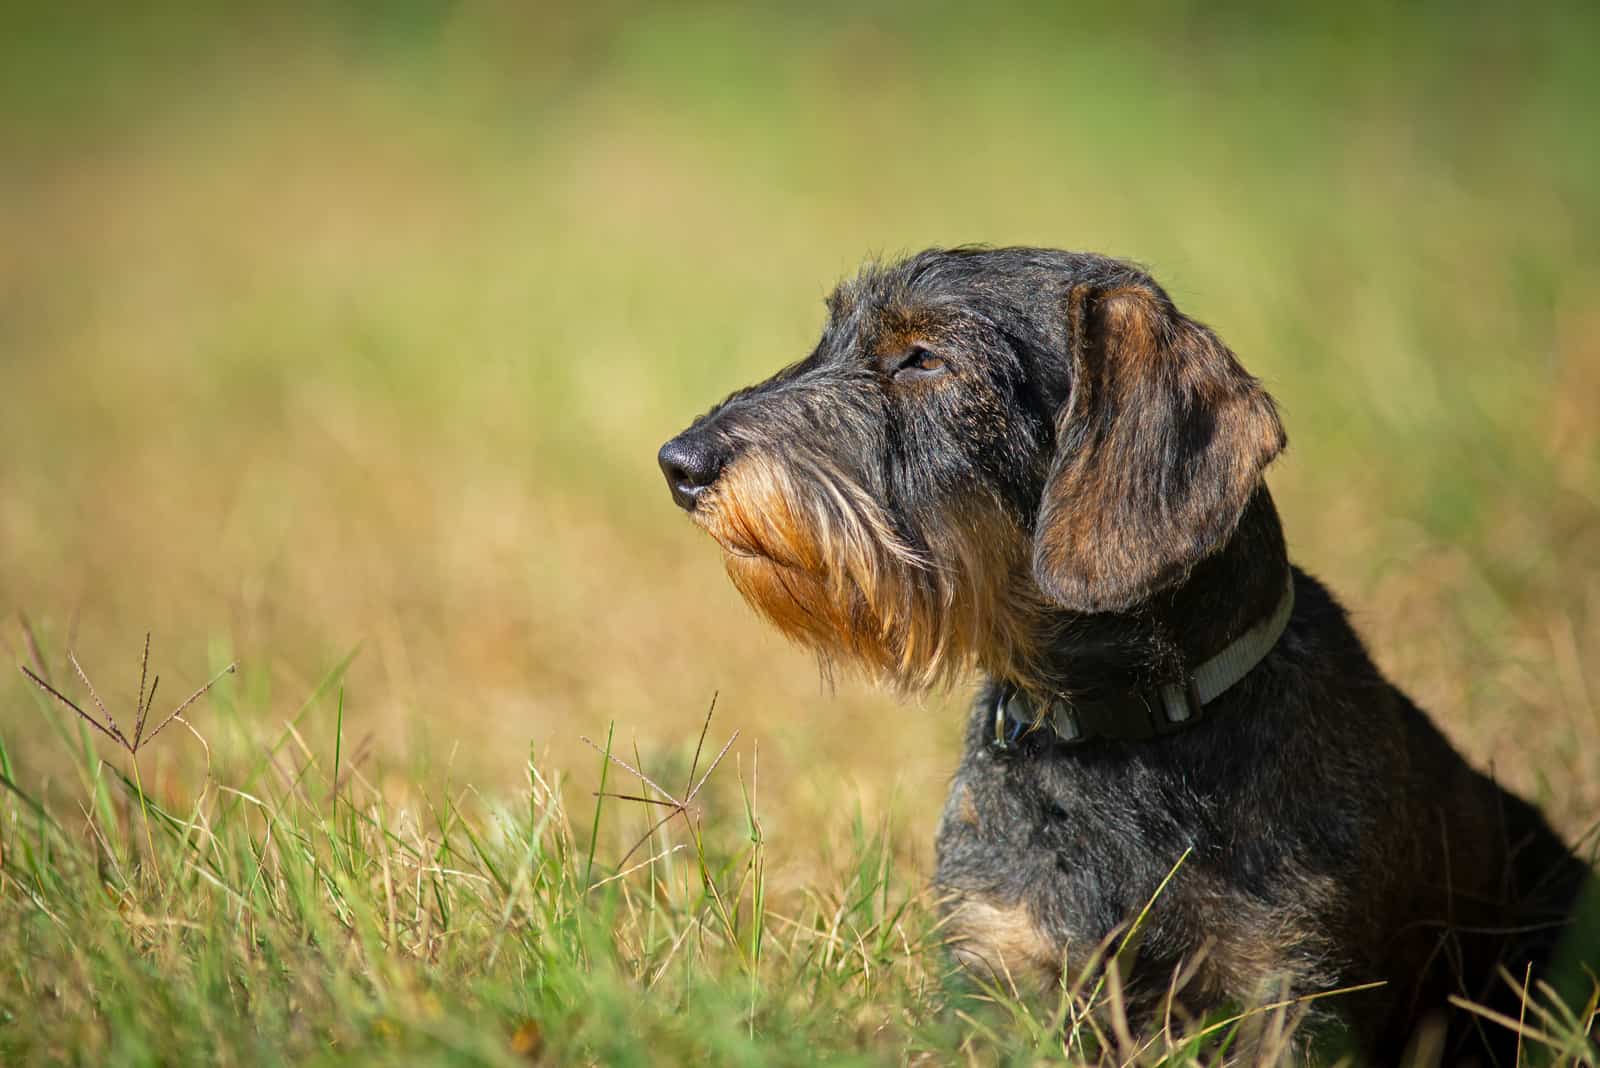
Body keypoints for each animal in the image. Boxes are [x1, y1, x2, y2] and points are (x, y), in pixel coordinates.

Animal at [652, 247, 1587, 1061]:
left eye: (921, 357)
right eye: (833, 337)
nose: (679, 461)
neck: (1108, 738)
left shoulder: (1286, 988)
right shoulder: (1000, 975)